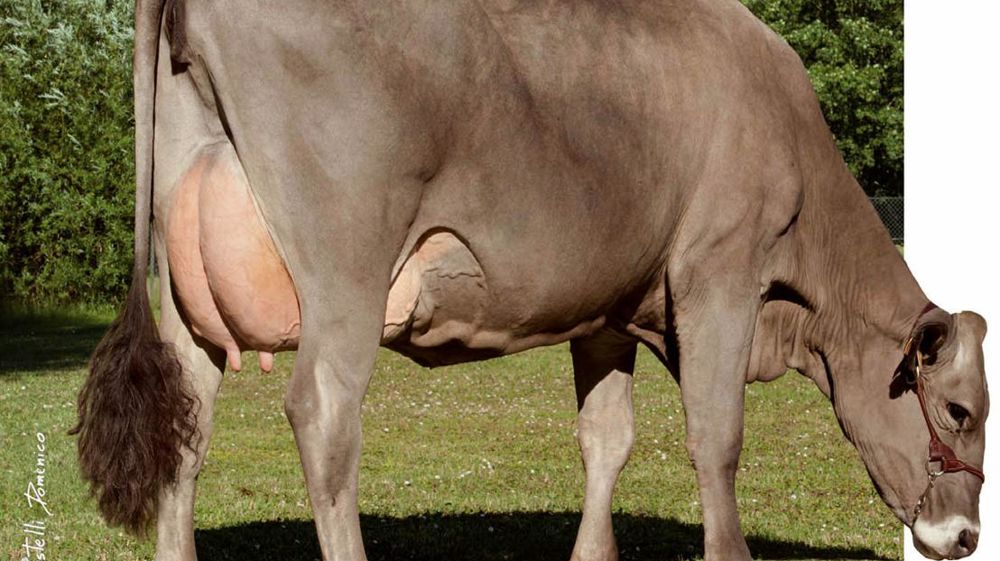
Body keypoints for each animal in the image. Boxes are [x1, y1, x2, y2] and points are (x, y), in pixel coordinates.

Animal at [71, 1, 988, 560]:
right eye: (959, 410)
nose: (967, 536)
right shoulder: (719, 273)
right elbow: (716, 437)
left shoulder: (612, 309)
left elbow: (607, 437)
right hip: (347, 268)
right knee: (325, 416)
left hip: (187, 283)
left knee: (184, 421)